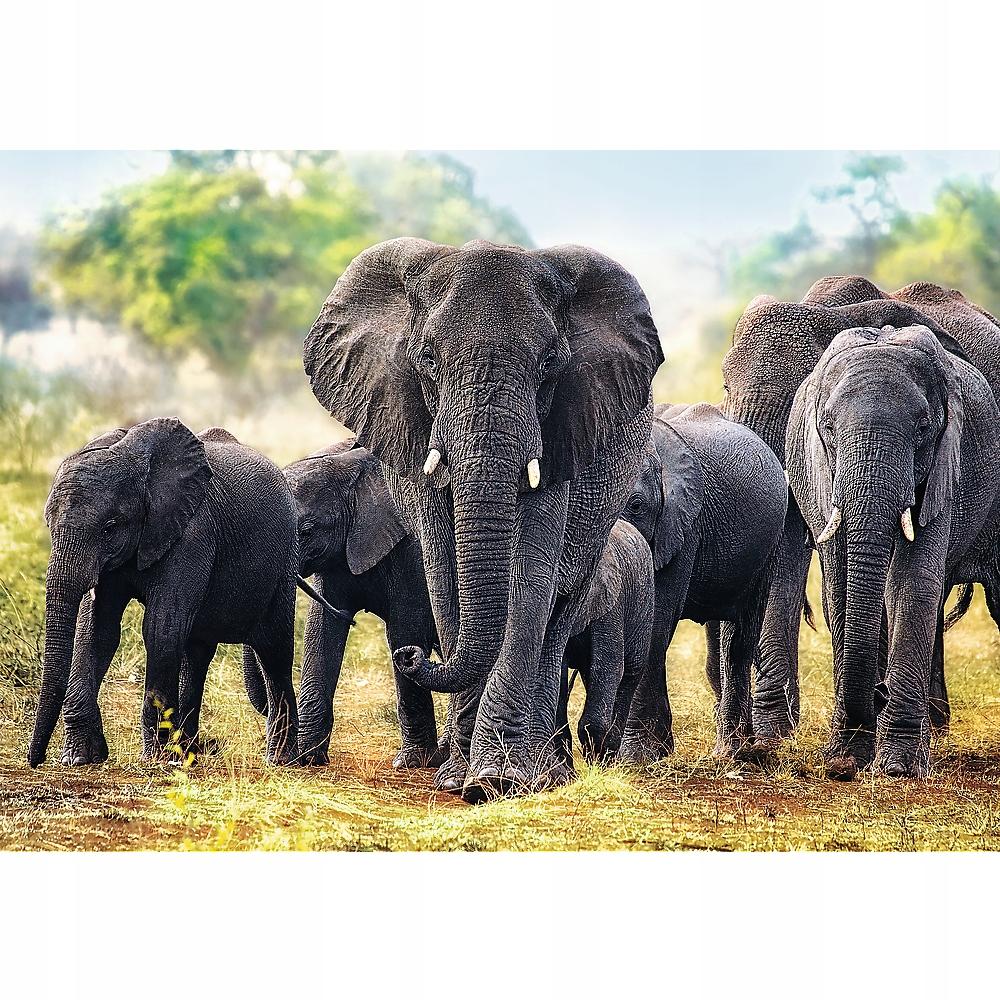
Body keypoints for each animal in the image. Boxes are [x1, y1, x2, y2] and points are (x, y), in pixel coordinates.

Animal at [27, 420, 300, 768]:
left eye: (109, 527)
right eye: (48, 525)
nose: (35, 760)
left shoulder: (193, 533)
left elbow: (161, 629)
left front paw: (154, 759)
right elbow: (97, 630)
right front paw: (80, 758)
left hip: (285, 561)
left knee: (274, 648)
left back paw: (282, 759)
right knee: (197, 653)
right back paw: (189, 753)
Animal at [244, 439, 447, 769]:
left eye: (306, 530)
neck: (350, 468)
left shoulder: (414, 551)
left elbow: (405, 630)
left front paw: (412, 762)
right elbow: (322, 629)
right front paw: (308, 757)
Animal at [303, 238, 663, 800]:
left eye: (550, 364)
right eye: (427, 360)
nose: (410, 655)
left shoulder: (560, 430)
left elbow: (532, 573)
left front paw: (497, 779)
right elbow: (446, 570)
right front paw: (457, 778)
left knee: (561, 609)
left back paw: (548, 772)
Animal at [612, 402, 788, 761]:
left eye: (636, 506)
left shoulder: (683, 526)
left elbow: (655, 623)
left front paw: (637, 758)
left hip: (768, 547)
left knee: (738, 642)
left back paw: (732, 752)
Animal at [786, 325, 1000, 779]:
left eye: (922, 427)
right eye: (827, 427)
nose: (879, 692)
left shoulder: (944, 468)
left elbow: (910, 585)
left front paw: (898, 768)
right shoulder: (820, 478)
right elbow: (841, 589)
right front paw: (847, 759)